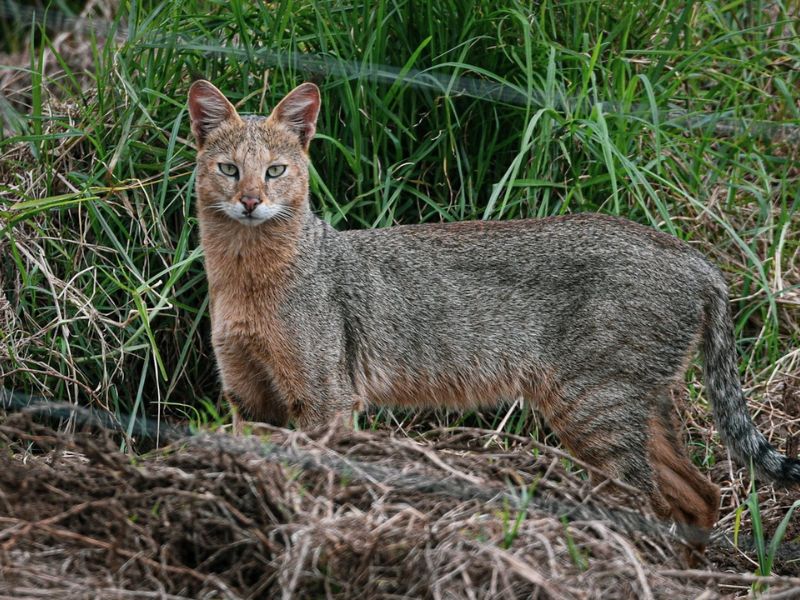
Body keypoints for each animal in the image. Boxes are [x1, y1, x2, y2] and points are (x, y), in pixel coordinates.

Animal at [189, 81, 800, 556]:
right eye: (229, 170)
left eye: (275, 171)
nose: (249, 201)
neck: (245, 278)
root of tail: (694, 257)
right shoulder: (249, 396)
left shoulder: (323, 397)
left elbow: (320, 476)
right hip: (633, 405)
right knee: (699, 493)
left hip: (593, 405)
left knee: (650, 499)